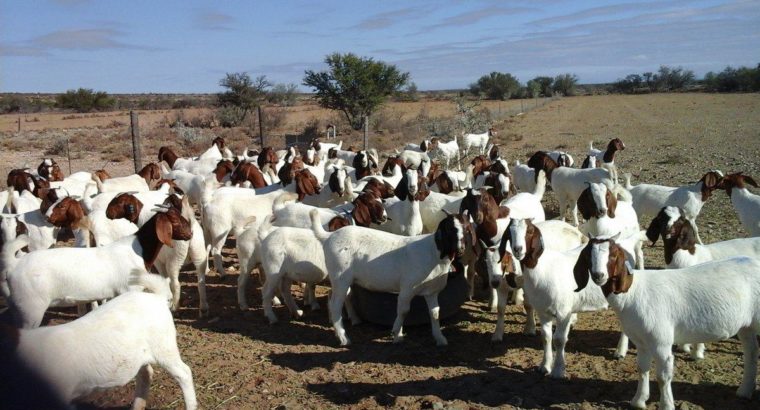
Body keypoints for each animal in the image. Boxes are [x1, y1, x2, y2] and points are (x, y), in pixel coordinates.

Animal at [574, 240, 760, 410]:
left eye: (613, 255)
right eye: (588, 256)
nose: (598, 275)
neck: (633, 293)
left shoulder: (660, 341)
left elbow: (663, 377)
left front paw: (667, 405)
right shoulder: (642, 342)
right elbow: (642, 368)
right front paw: (639, 401)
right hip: (746, 326)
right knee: (751, 352)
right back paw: (744, 391)